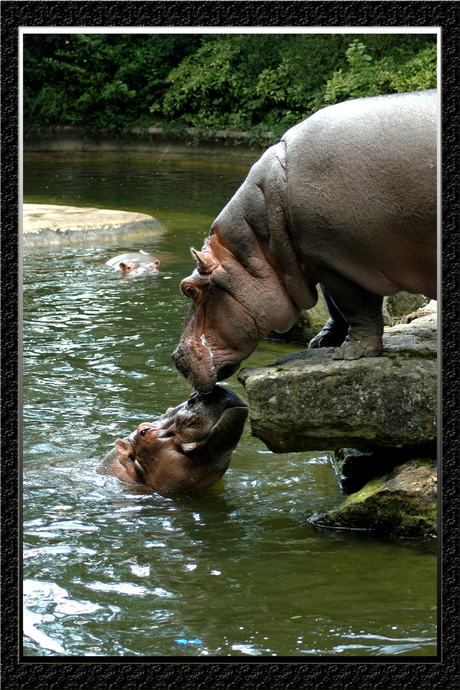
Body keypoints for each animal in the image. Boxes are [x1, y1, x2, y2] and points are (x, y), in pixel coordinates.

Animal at [172, 91, 434, 392]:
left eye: (189, 289)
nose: (175, 358)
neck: (256, 245)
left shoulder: (340, 262)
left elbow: (355, 306)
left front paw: (350, 354)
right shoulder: (320, 258)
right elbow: (335, 305)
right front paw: (320, 343)